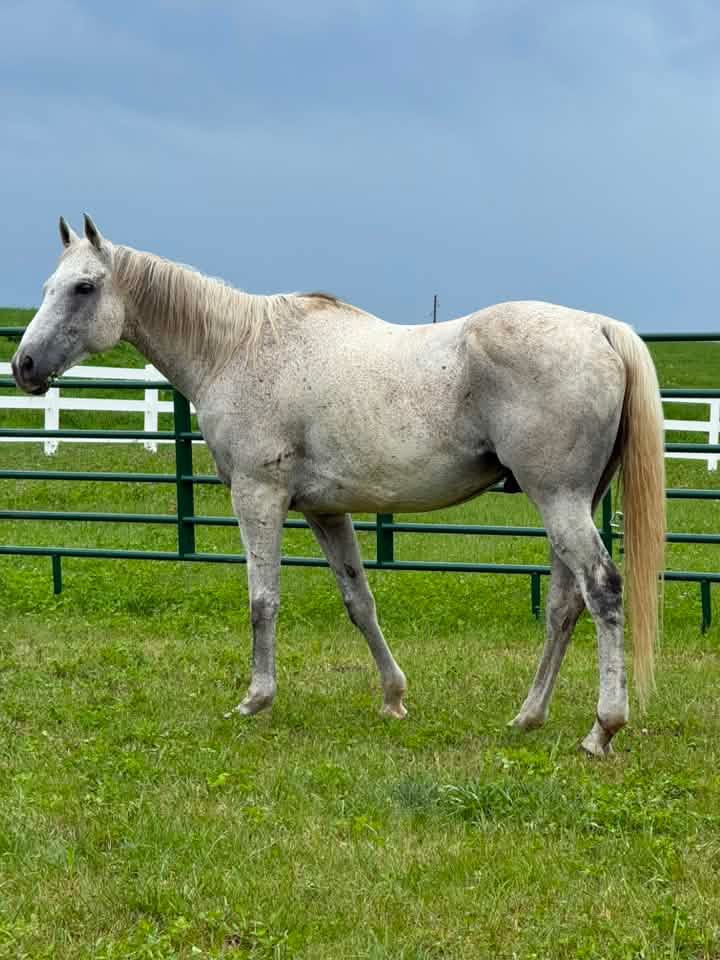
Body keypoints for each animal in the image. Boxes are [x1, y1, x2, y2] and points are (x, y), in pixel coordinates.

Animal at [11, 215, 666, 757]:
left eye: (84, 288)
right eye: (48, 286)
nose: (23, 366)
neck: (237, 349)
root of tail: (599, 328)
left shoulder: (258, 496)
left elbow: (263, 600)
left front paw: (255, 700)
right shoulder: (326, 512)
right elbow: (359, 601)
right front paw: (394, 697)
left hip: (558, 501)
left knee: (602, 591)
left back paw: (602, 729)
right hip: (570, 503)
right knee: (564, 605)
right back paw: (528, 716)